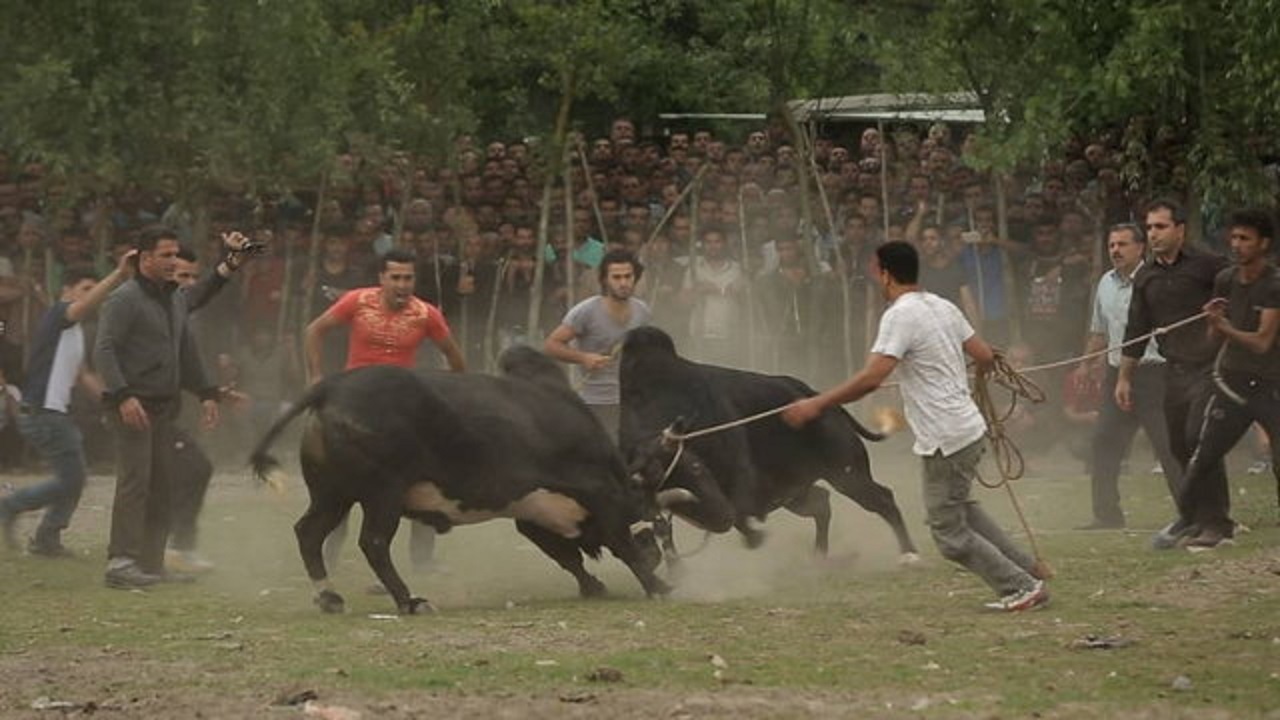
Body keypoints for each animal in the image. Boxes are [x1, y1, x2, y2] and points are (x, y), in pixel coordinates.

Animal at [244, 345, 675, 609]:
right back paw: (409, 601)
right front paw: (660, 587)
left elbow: (567, 556)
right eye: (655, 525)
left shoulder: (532, 515)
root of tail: (330, 387)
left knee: (309, 533)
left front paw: (594, 586)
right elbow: (620, 544)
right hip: (382, 495)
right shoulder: (599, 495)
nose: (659, 558)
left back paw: (329, 598)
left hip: (333, 495)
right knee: (374, 543)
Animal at [619, 324, 921, 561]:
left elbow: (742, 511)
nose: (719, 517)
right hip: (798, 492)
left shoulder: (743, 480)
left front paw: (753, 535)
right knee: (822, 503)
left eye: (694, 468)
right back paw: (819, 557)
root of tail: (820, 398)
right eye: (655, 500)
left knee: (883, 499)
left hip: (848, 474)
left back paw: (909, 553)